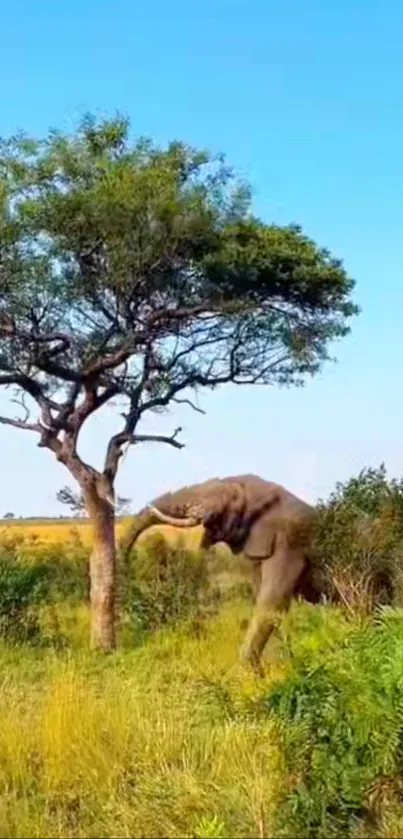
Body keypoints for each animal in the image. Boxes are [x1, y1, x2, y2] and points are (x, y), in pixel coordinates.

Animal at [123, 476, 322, 672]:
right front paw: (285, 664)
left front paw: (249, 673)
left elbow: (270, 602)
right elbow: (274, 607)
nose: (126, 564)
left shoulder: (289, 544)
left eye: (228, 500)